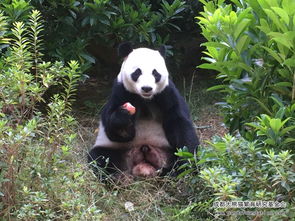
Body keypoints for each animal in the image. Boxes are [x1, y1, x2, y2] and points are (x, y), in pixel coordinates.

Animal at [87, 42, 199, 179]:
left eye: (155, 73)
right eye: (137, 72)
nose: (147, 88)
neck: (145, 99)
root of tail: (143, 165)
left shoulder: (166, 93)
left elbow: (179, 123)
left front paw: (187, 161)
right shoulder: (121, 92)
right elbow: (114, 131)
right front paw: (123, 118)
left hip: (166, 151)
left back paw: (172, 172)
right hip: (117, 150)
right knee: (99, 157)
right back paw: (117, 177)